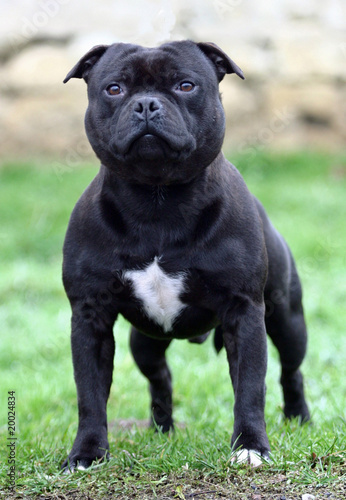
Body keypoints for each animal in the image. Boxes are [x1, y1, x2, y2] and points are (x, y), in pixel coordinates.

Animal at [60, 41, 310, 470]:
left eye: (186, 85)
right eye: (114, 89)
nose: (146, 104)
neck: (157, 200)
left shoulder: (245, 312)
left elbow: (250, 388)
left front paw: (250, 446)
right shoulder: (90, 316)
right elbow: (90, 394)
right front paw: (87, 454)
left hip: (287, 320)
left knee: (290, 371)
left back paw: (299, 419)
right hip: (143, 343)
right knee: (160, 377)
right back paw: (162, 430)